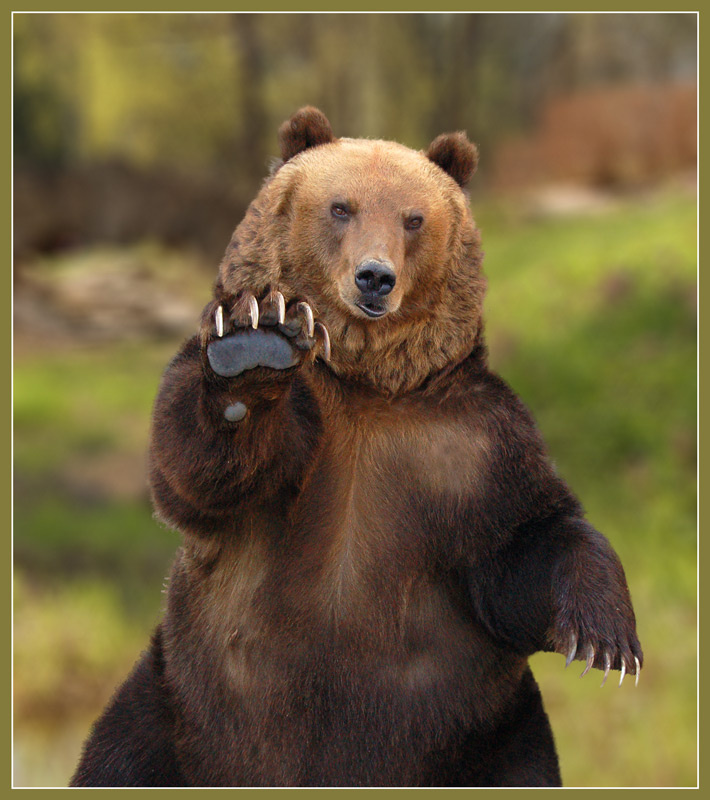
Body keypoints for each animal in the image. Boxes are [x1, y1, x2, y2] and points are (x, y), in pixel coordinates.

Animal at [70, 107, 642, 787]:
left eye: (413, 218)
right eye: (341, 207)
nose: (375, 277)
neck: (367, 380)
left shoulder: (469, 445)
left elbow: (525, 540)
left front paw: (606, 639)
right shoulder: (310, 438)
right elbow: (198, 472)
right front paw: (253, 349)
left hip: (490, 739)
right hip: (176, 711)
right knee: (121, 754)